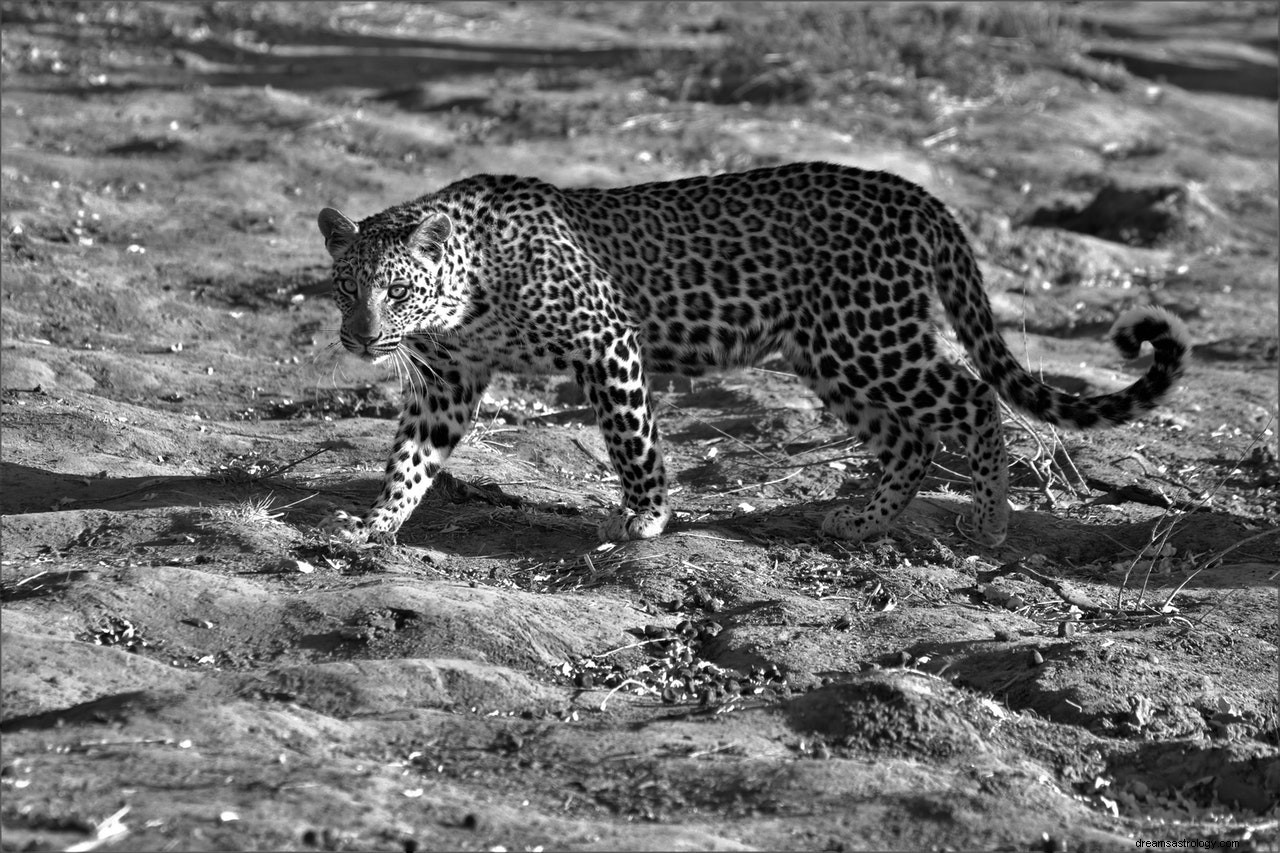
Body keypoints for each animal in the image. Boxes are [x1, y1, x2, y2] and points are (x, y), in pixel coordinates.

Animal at [312, 161, 1187, 545]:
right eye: (345, 285)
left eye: (397, 290)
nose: (359, 337)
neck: (468, 286)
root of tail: (920, 196)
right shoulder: (448, 380)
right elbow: (411, 456)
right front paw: (377, 521)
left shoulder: (607, 339)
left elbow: (633, 440)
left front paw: (648, 516)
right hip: (833, 354)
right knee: (908, 437)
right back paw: (861, 517)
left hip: (868, 337)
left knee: (969, 397)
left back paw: (990, 519)